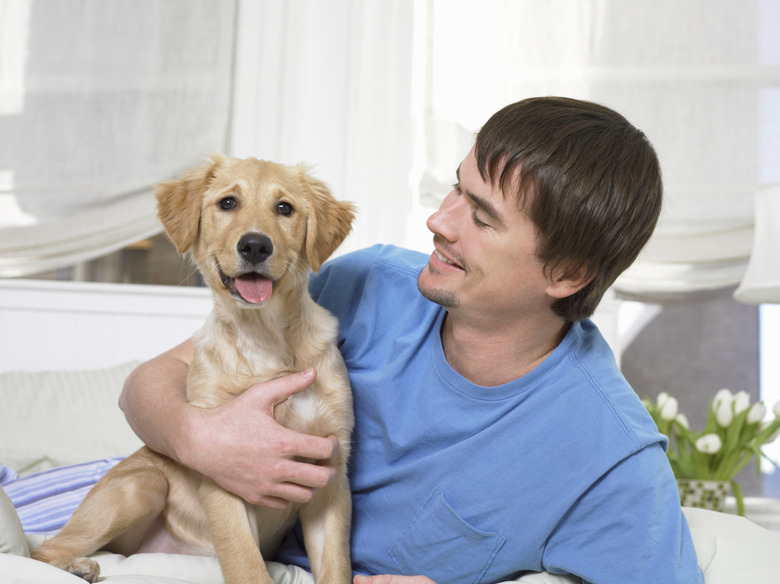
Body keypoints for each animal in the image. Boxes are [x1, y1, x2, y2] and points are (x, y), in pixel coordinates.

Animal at [32, 156, 356, 584]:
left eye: (284, 208)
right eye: (228, 203)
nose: (255, 245)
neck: (265, 340)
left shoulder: (331, 474)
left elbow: (336, 567)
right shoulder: (227, 468)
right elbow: (246, 565)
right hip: (143, 484)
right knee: (42, 550)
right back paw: (77, 565)